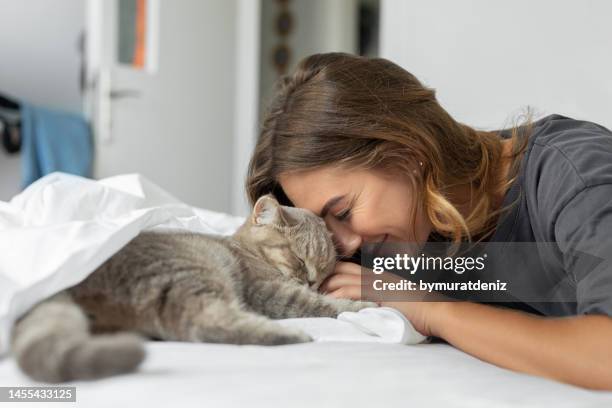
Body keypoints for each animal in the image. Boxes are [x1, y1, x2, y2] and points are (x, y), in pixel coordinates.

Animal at [9, 194, 376, 382]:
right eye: (299, 259)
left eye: (325, 269)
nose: (313, 280)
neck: (246, 249)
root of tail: (70, 283)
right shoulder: (270, 291)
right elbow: (321, 304)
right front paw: (363, 306)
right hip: (193, 273)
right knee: (203, 323)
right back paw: (289, 335)